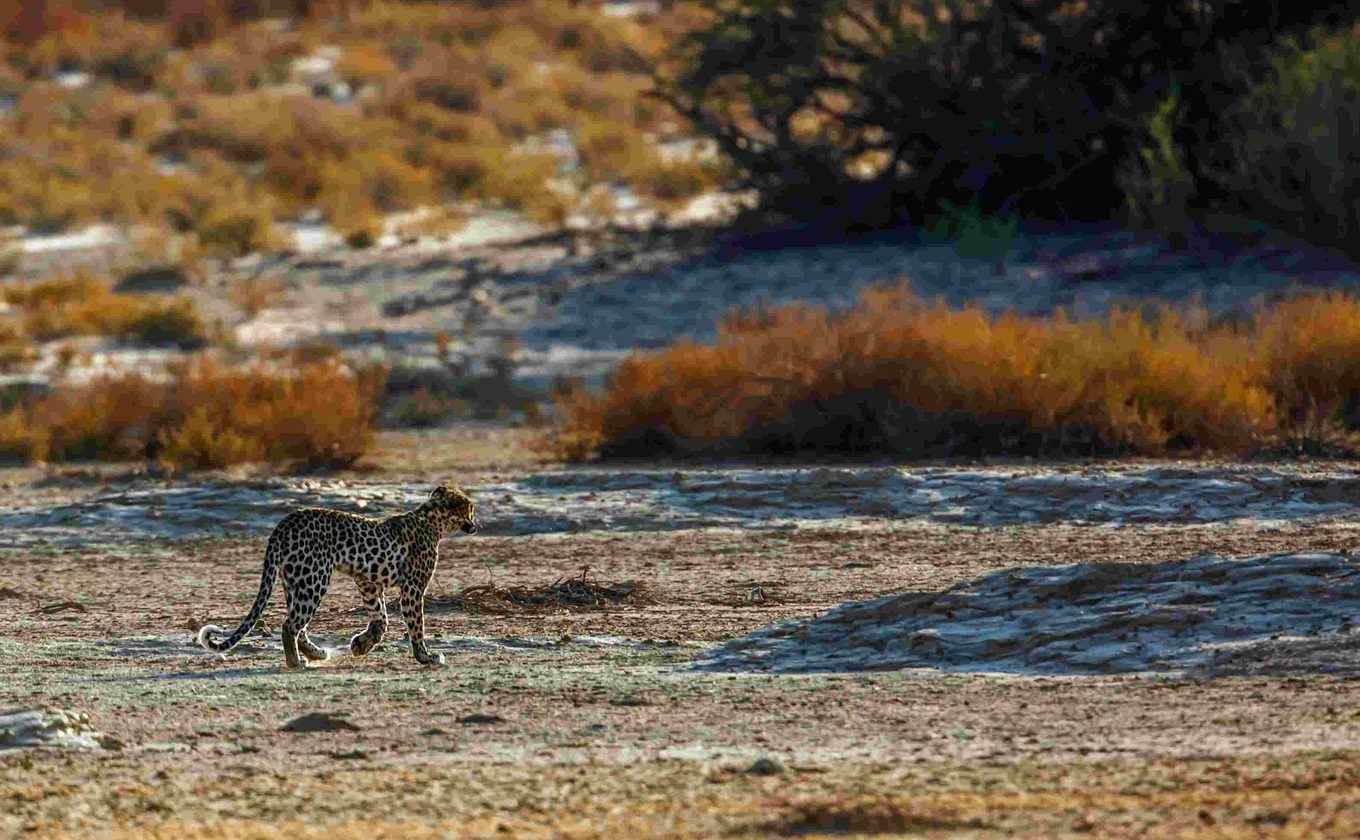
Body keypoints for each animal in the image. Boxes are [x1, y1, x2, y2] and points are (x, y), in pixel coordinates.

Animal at [197, 484, 478, 668]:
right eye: (470, 509)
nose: (475, 525)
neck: (432, 521)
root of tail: (283, 525)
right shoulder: (412, 588)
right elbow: (416, 625)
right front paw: (426, 657)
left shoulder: (368, 582)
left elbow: (381, 618)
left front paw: (361, 644)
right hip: (314, 579)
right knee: (290, 625)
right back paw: (296, 662)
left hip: (295, 582)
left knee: (298, 626)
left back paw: (316, 654)